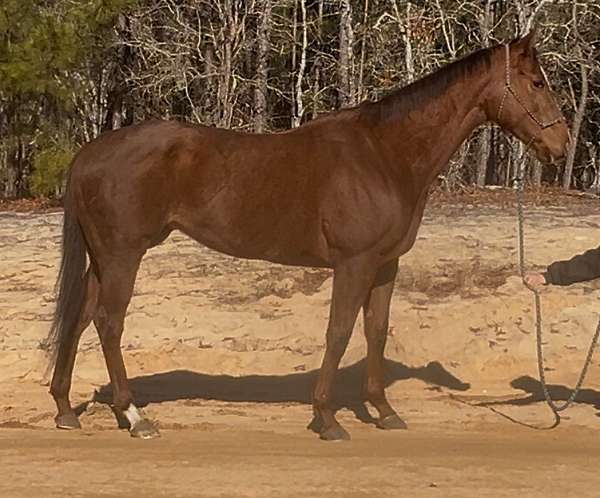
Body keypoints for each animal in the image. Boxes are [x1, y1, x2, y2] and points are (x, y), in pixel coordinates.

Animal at [45, 32, 568, 440]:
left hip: (103, 258)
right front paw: (327, 418)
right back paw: (134, 417)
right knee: (109, 323)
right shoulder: (354, 263)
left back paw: (66, 410)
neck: (384, 154)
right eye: (537, 82)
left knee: (79, 317)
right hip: (123, 255)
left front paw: (383, 411)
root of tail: (89, 153)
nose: (561, 146)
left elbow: (376, 331)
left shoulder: (386, 264)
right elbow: (339, 332)